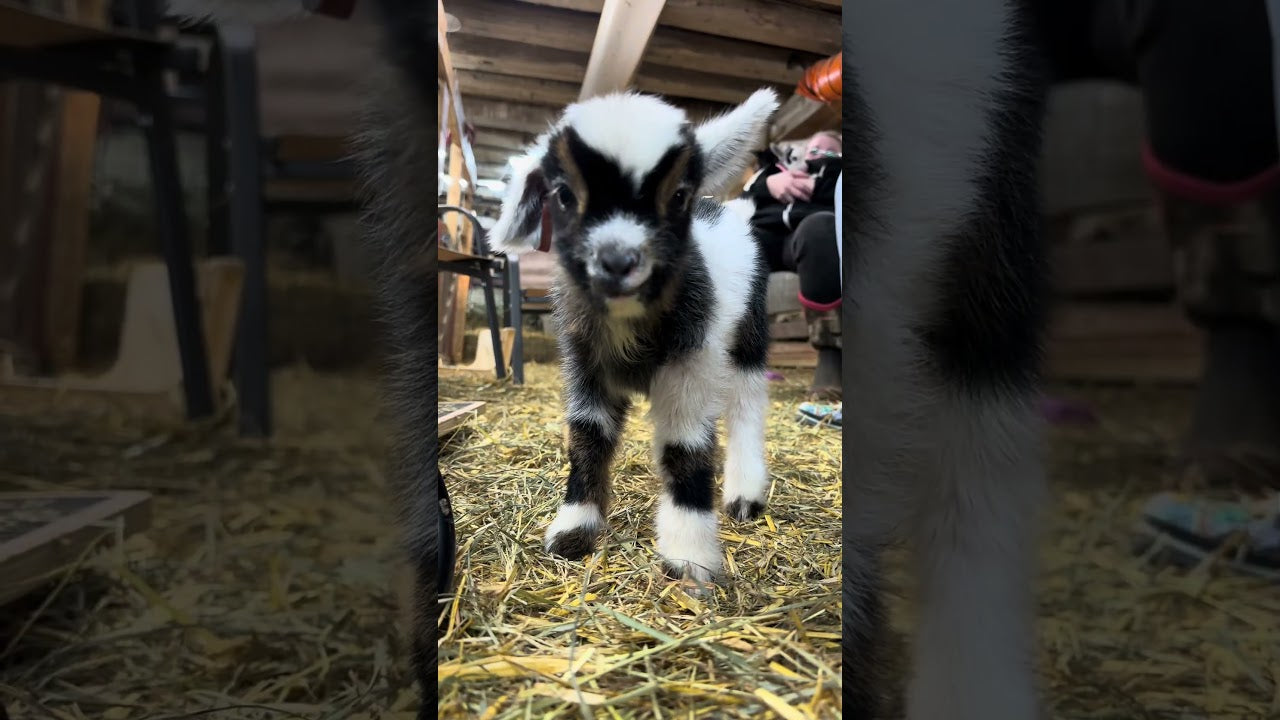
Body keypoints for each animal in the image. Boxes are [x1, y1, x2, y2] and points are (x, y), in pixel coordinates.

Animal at [488, 89, 780, 583]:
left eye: (679, 196)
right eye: (563, 194)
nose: (618, 260)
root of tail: (728, 209)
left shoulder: (692, 362)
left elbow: (685, 448)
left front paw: (689, 555)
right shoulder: (584, 364)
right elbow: (588, 435)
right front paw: (574, 528)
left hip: (748, 333)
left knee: (746, 404)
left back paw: (744, 493)